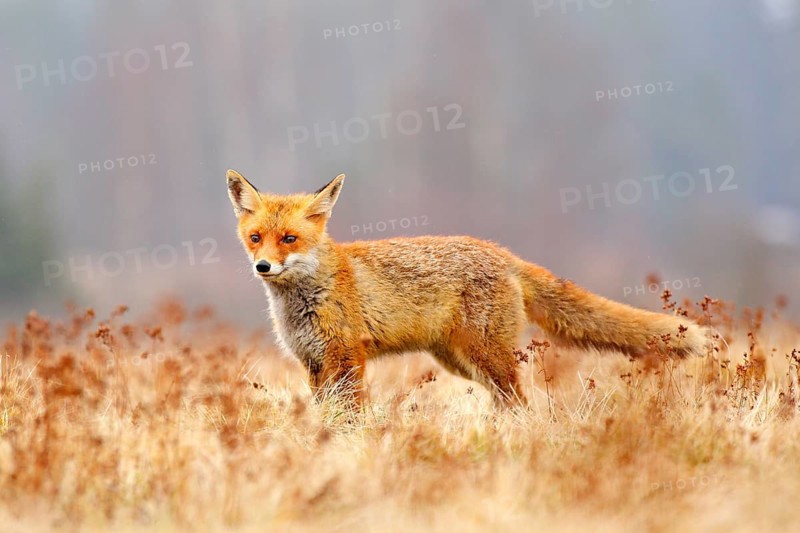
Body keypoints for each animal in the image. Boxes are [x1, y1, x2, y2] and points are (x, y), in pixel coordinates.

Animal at [226, 169, 709, 406]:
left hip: (486, 356)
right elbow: (326, 413)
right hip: (461, 361)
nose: (264, 266)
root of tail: (501, 252)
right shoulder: (313, 363)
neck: (307, 297)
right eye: (256, 238)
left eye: (290, 239)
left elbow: (348, 414)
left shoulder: (346, 357)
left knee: (519, 402)